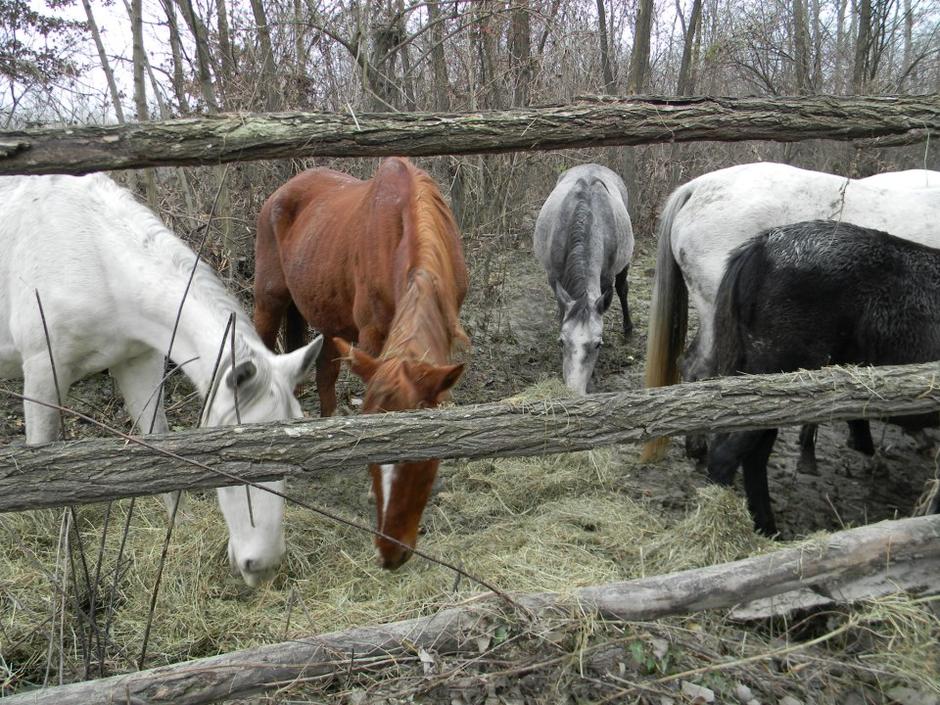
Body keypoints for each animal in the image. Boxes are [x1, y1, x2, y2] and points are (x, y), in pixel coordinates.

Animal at [0, 173, 324, 584]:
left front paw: (179, 525)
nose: (261, 566)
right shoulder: (44, 369)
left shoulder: (139, 362)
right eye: (233, 454)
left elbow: (159, 440)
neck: (98, 259)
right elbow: (40, 453)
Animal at [253, 157, 470, 568]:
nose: (392, 548)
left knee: (326, 375)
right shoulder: (371, 335)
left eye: (423, 463)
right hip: (269, 302)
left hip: (326, 316)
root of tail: (279, 194)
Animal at [532, 165, 636, 396]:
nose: (574, 391)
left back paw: (628, 330)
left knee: (622, 289)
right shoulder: (554, 278)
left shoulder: (605, 279)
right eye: (562, 341)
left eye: (598, 344)